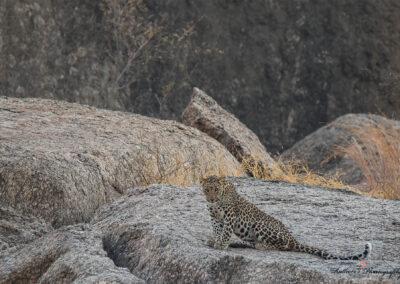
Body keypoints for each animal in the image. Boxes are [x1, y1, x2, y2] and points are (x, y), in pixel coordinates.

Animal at [200, 176, 372, 260]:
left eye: (216, 189)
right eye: (207, 190)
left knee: (284, 245)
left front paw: (222, 244)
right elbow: (217, 230)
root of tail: (292, 237)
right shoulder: (214, 217)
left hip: (260, 225)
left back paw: (261, 245)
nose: (211, 198)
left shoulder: (230, 215)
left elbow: (226, 231)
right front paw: (216, 241)